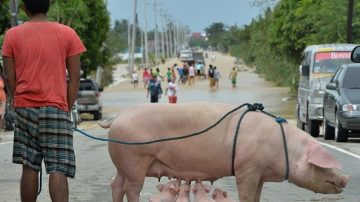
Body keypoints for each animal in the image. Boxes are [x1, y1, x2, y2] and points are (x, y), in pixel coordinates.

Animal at [102, 103, 350, 201]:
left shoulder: (259, 173)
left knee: (116, 184)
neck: (284, 148)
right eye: (324, 164)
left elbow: (257, 195)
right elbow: (246, 194)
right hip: (134, 160)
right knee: (131, 188)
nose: (346, 178)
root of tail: (117, 117)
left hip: (122, 162)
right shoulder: (247, 168)